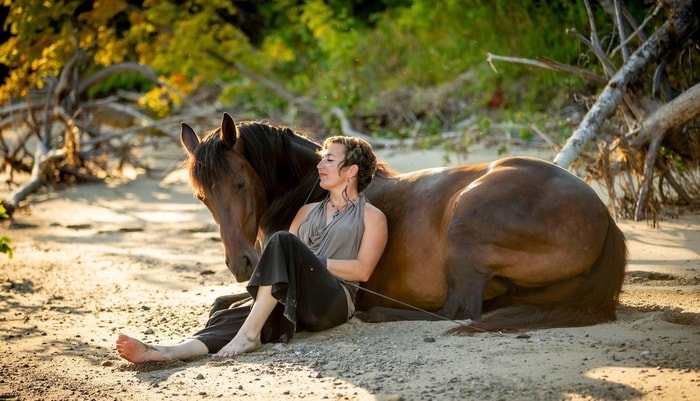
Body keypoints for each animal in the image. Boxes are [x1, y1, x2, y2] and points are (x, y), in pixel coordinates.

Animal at [180, 113, 627, 333]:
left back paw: (377, 314)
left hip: (466, 230)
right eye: (202, 197)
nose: (241, 263)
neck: (310, 190)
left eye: (239, 183)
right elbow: (220, 302)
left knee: (460, 311)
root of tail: (605, 215)